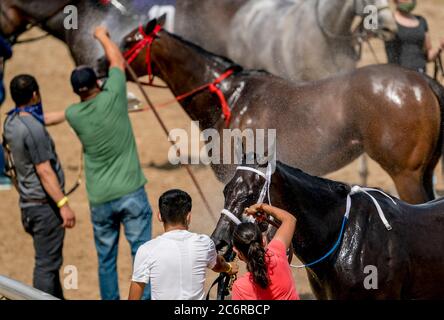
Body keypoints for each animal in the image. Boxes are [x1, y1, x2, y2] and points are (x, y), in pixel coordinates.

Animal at [119, 20, 444, 204]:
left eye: (127, 43)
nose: (104, 67)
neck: (231, 98)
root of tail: (422, 82)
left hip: (407, 176)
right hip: (424, 173)